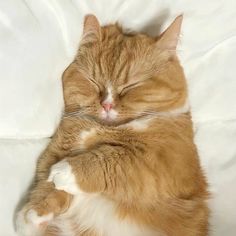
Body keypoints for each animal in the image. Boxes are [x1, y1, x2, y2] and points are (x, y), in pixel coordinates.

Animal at [15, 14, 209, 236]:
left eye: (131, 86)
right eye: (94, 81)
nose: (106, 105)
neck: (104, 128)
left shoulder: (165, 161)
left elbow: (114, 158)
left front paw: (65, 171)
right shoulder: (57, 150)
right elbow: (46, 183)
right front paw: (32, 214)